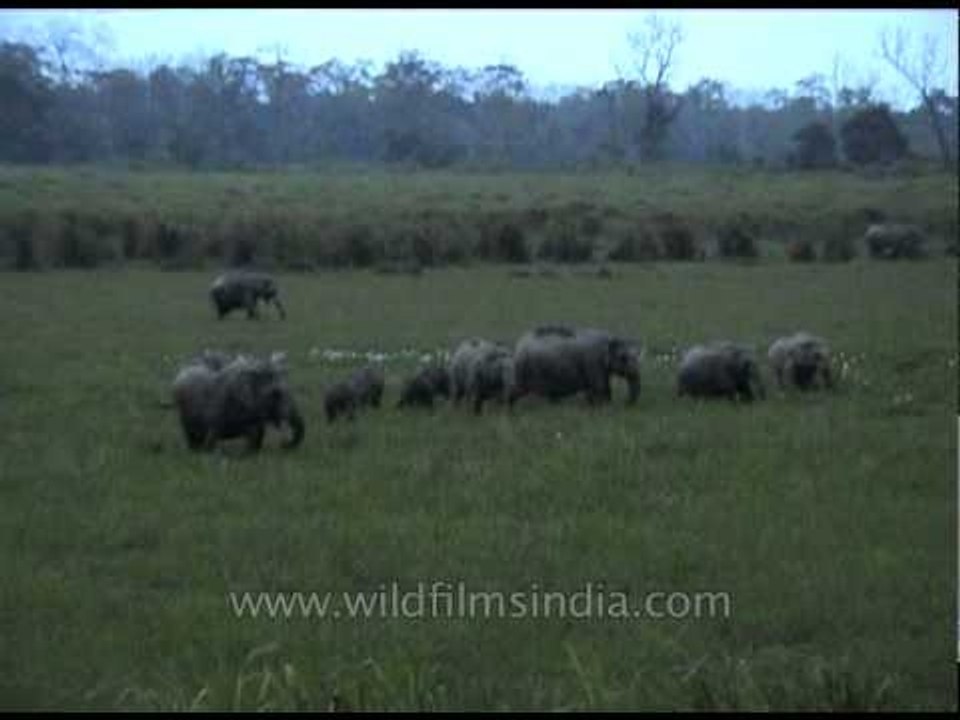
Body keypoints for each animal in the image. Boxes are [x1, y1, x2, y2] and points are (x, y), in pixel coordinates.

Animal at [171, 352, 304, 451]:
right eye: (275, 394)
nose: (284, 445)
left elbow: (257, 437)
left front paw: (250, 453)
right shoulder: (216, 411)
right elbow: (212, 437)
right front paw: (208, 452)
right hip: (184, 412)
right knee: (191, 434)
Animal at [509, 325, 641, 407]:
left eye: (638, 354)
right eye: (623, 357)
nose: (627, 404)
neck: (611, 338)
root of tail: (519, 345)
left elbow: (599, 387)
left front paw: (595, 406)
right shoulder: (593, 361)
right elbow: (600, 387)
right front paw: (604, 408)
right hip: (525, 370)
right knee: (516, 389)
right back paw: (508, 410)